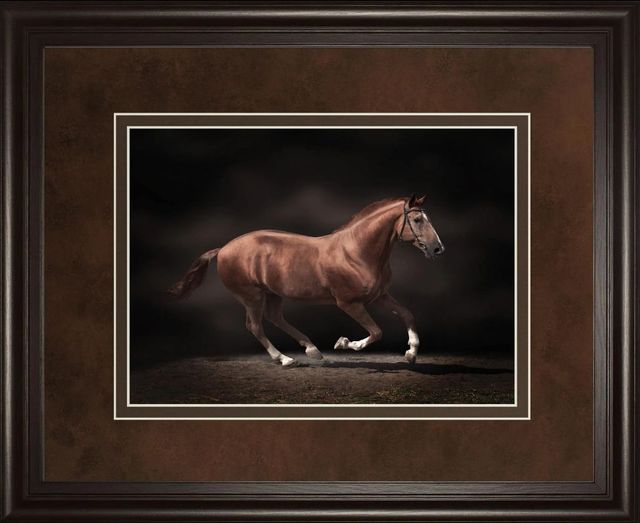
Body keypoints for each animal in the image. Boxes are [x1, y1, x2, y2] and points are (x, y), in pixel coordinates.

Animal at [168, 194, 445, 366]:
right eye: (417, 220)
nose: (438, 249)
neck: (356, 251)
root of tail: (224, 248)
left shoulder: (379, 296)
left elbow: (407, 314)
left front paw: (411, 353)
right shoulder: (349, 303)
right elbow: (376, 332)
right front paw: (345, 343)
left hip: (273, 294)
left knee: (275, 318)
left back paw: (312, 351)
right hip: (251, 296)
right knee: (255, 326)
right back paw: (285, 359)